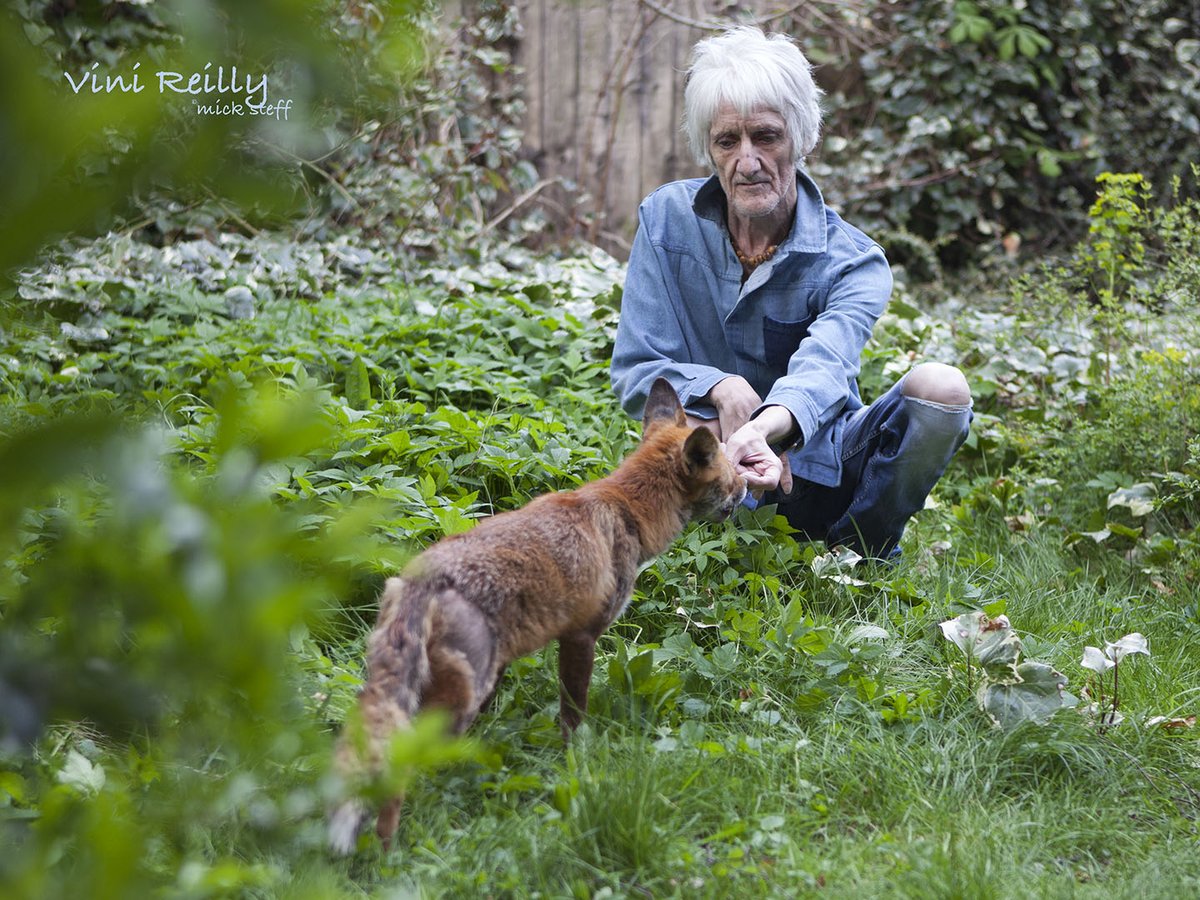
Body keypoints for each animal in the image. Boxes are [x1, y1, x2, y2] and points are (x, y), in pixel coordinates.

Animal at [324, 379, 744, 854]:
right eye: (729, 474)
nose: (748, 485)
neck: (627, 512)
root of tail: (423, 578)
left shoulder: (507, 656)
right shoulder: (581, 636)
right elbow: (573, 718)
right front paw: (575, 764)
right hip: (459, 696)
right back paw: (388, 849)